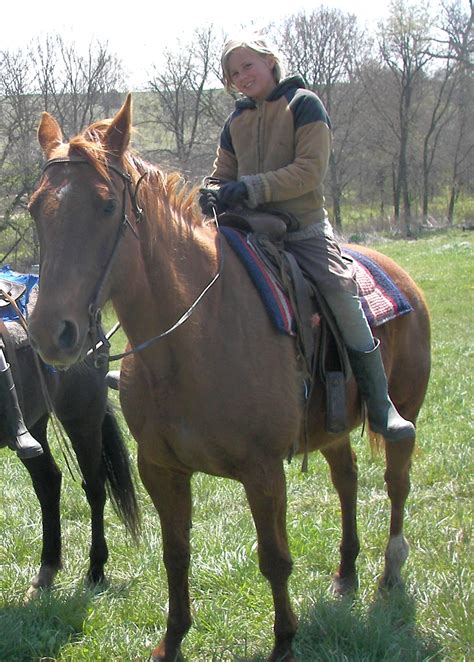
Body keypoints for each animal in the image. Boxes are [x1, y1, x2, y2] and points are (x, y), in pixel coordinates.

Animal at [0, 313, 140, 598]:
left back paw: (96, 570)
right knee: (48, 482)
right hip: (36, 424)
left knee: (95, 489)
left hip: (82, 419)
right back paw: (47, 570)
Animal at [27, 95, 431, 662]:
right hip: (330, 431)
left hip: (405, 410)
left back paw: (389, 570)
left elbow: (275, 559)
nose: (50, 332)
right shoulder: (161, 469)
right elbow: (176, 553)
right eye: (36, 208)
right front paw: (172, 640)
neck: (192, 342)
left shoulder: (263, 471)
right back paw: (346, 572)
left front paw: (284, 642)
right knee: (347, 480)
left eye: (106, 206)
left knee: (397, 479)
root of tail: (402, 277)